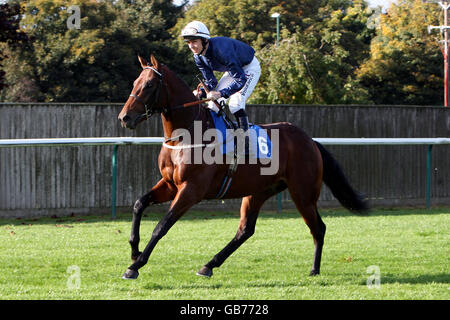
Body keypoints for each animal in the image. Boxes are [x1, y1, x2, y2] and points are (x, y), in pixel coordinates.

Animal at [118, 55, 368, 280]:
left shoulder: (191, 190)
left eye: (149, 85)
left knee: (318, 228)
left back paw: (314, 270)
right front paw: (134, 251)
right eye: (135, 82)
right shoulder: (170, 184)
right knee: (246, 230)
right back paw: (209, 265)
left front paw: (135, 266)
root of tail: (310, 140)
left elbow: (162, 225)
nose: (124, 117)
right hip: (259, 191)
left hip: (303, 193)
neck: (186, 135)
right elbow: (139, 204)